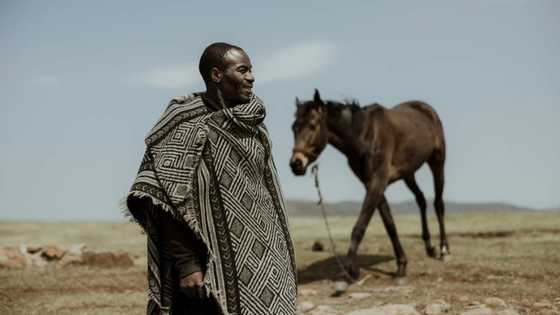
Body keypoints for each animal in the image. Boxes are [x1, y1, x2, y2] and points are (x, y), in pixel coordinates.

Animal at [290, 89, 448, 282]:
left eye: (312, 125)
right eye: (294, 127)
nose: (296, 164)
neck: (365, 136)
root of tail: (426, 108)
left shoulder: (377, 182)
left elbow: (360, 226)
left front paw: (348, 271)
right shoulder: (371, 183)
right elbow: (389, 224)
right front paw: (401, 265)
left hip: (437, 162)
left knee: (438, 203)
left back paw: (443, 249)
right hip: (408, 173)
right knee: (421, 199)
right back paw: (429, 247)